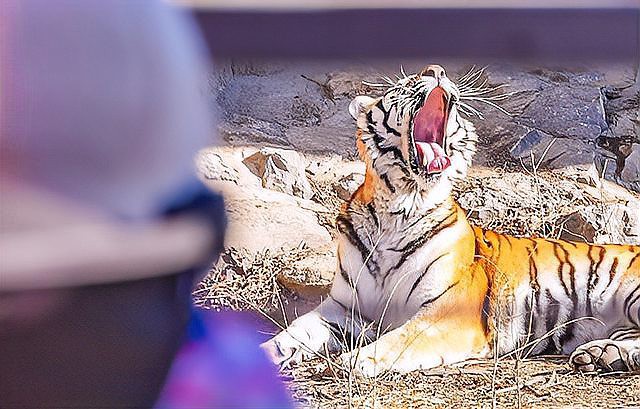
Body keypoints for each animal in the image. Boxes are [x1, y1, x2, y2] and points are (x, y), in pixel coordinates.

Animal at [261, 64, 640, 377]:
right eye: (404, 84)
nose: (436, 69)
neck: (399, 206)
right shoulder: (342, 308)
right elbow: (292, 331)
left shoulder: (449, 312)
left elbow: (402, 338)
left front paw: (356, 360)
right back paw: (601, 355)